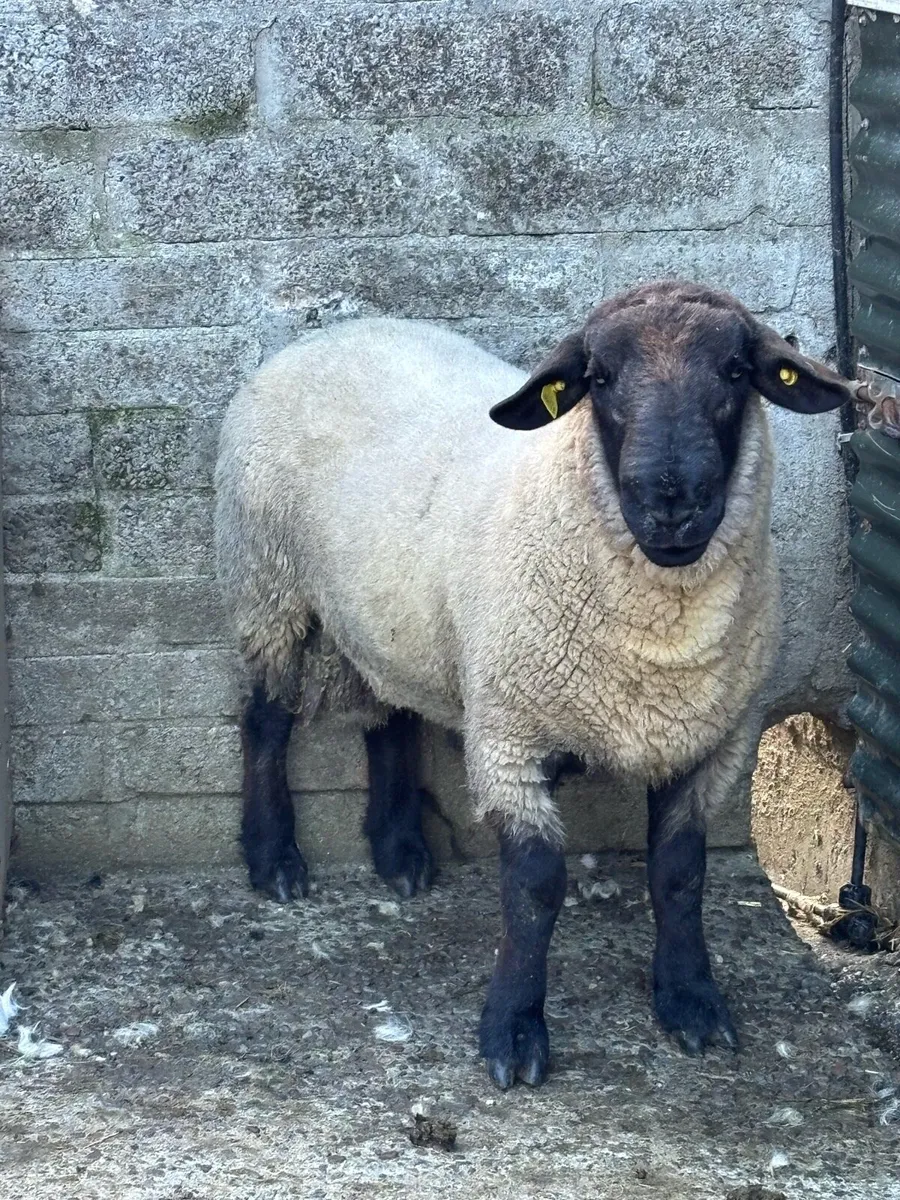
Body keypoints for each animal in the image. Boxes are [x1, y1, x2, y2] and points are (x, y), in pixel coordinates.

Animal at [214, 280, 852, 1089]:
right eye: (600, 379)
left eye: (736, 372)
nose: (670, 498)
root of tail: (334, 332)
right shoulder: (510, 735)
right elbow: (536, 887)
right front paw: (514, 1032)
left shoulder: (707, 741)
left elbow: (680, 874)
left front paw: (690, 1001)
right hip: (268, 585)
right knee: (266, 720)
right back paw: (275, 859)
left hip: (390, 618)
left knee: (391, 715)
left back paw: (399, 851)